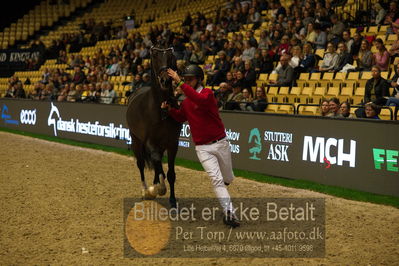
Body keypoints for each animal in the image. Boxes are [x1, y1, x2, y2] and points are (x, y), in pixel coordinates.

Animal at [126, 46, 181, 207]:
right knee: (141, 163)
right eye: (155, 56)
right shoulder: (149, 141)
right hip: (136, 140)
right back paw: (146, 190)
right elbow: (156, 160)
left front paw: (172, 200)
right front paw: (158, 188)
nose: (165, 80)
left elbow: (170, 173)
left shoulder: (172, 143)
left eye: (170, 57)